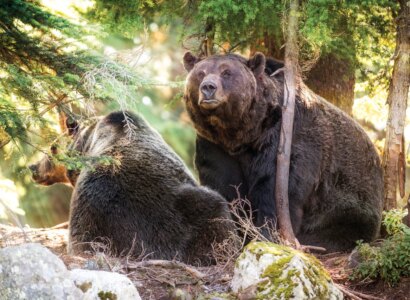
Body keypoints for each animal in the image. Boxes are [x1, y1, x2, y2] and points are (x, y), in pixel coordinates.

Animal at [183, 51, 384, 251]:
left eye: (226, 72)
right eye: (200, 73)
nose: (208, 87)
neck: (242, 134)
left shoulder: (284, 138)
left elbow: (276, 189)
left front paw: (267, 234)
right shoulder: (215, 146)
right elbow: (223, 185)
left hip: (349, 197)